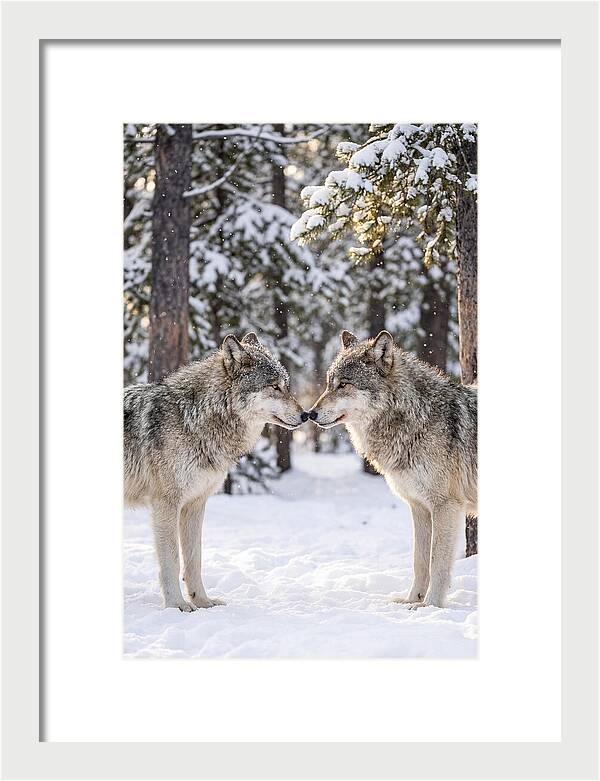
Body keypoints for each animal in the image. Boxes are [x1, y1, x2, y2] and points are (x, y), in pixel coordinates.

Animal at [124, 332, 306, 611]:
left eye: (286, 386)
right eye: (274, 387)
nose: (307, 415)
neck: (194, 418)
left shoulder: (195, 504)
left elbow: (194, 559)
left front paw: (202, 601)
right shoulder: (166, 504)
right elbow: (172, 559)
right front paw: (177, 605)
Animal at [309, 330, 477, 608]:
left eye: (344, 384)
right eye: (329, 383)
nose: (310, 414)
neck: (416, 417)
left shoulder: (446, 506)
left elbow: (437, 562)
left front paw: (430, 605)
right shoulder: (419, 506)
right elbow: (419, 561)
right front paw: (412, 600)